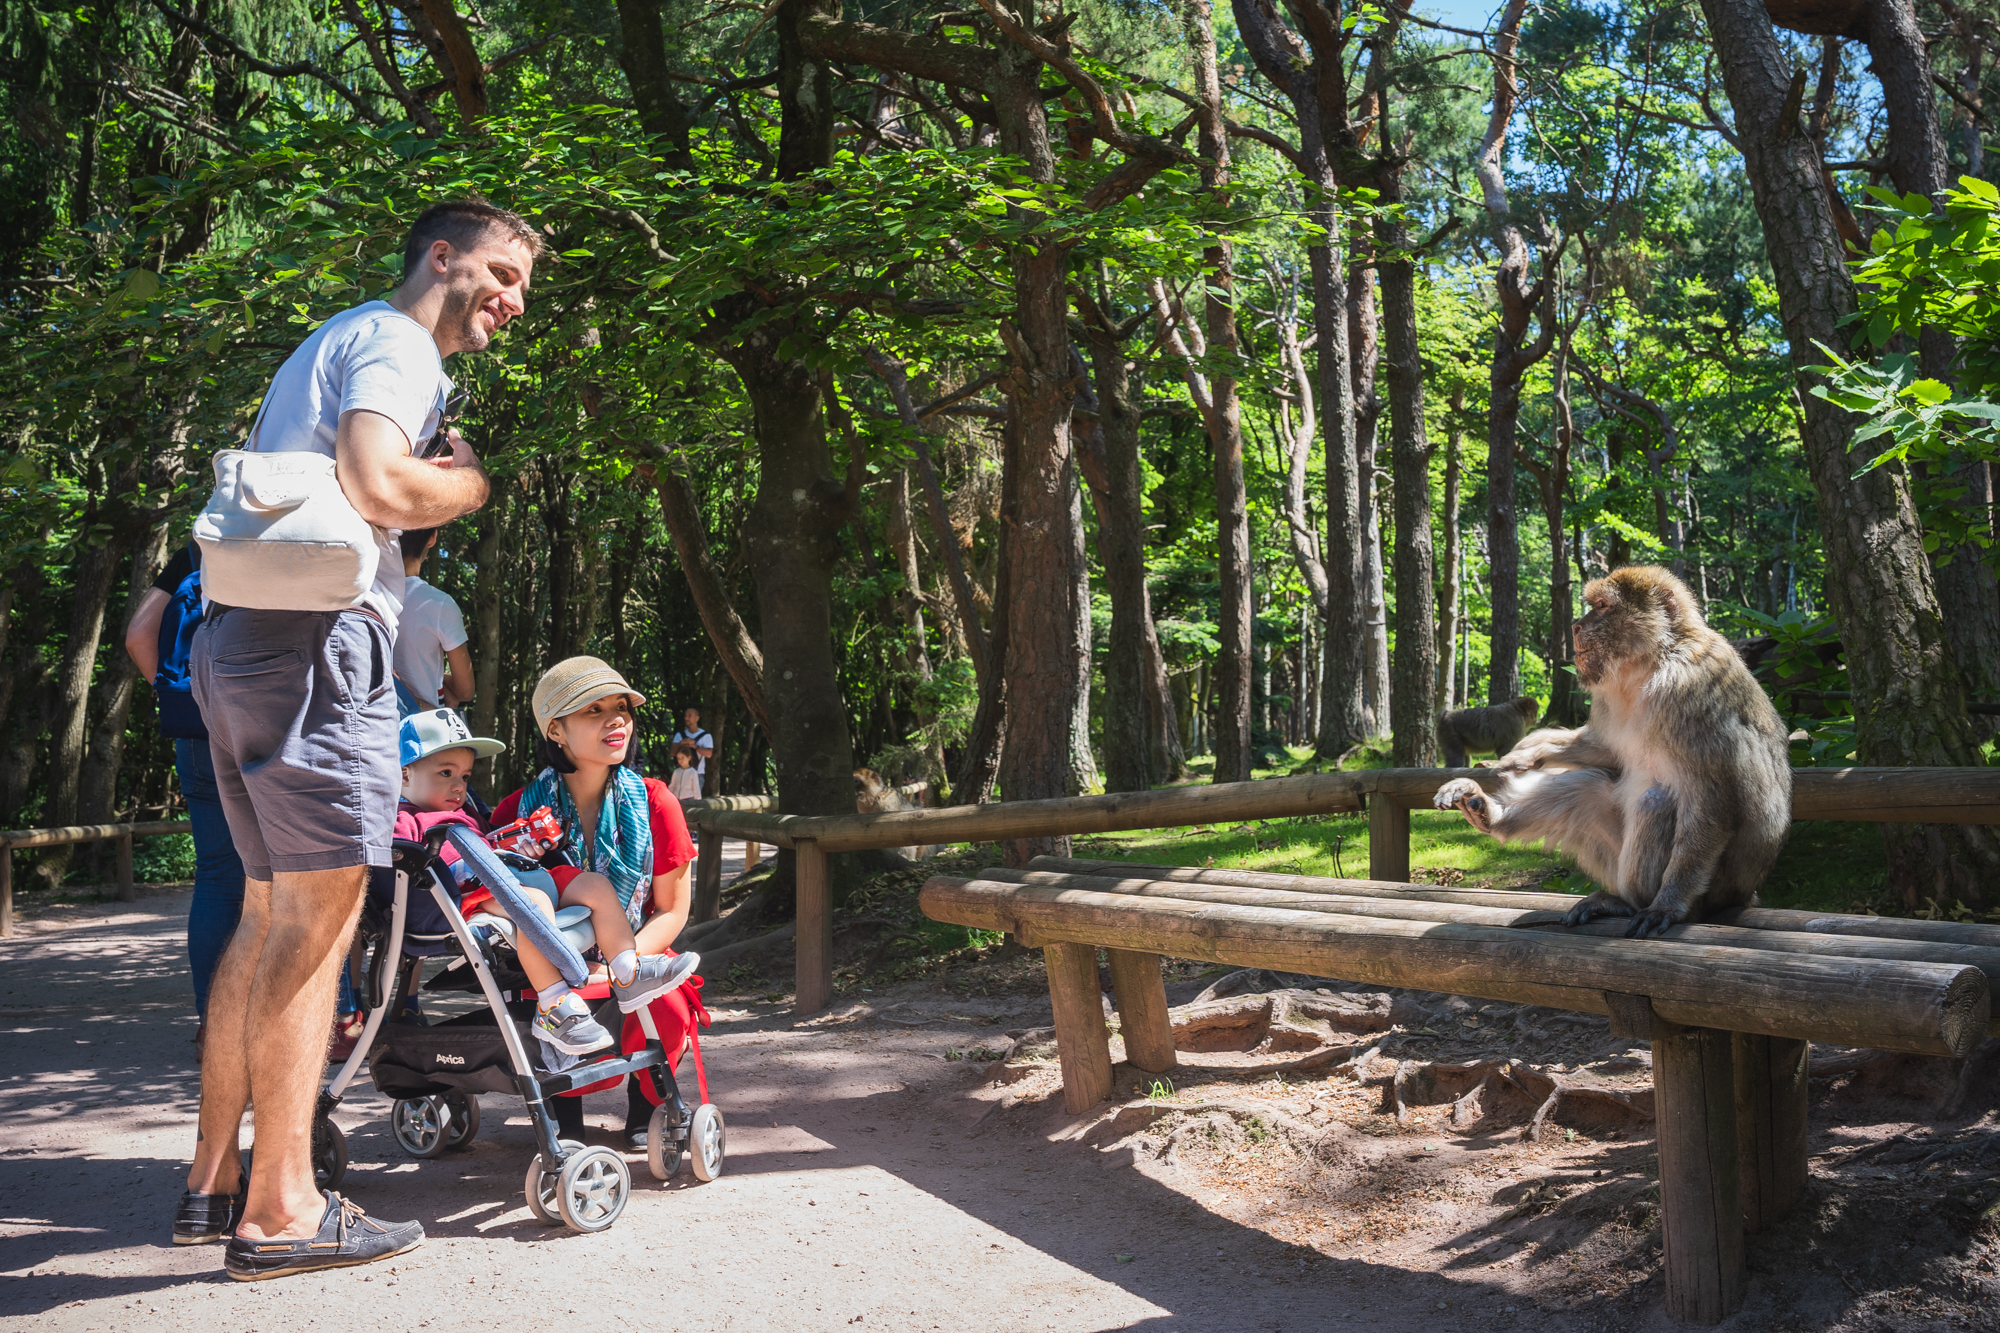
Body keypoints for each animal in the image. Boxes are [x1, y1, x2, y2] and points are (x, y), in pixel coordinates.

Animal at [1432, 560, 1792, 932]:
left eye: (1603, 606)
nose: (1576, 625)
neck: (1648, 665)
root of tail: (1745, 895)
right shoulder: (1605, 693)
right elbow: (1604, 750)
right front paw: (1528, 753)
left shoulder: (1689, 690)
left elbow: (1714, 804)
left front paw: (1669, 904)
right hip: (1612, 857)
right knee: (1586, 787)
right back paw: (1489, 814)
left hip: (1715, 889)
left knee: (1655, 802)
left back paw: (1636, 903)